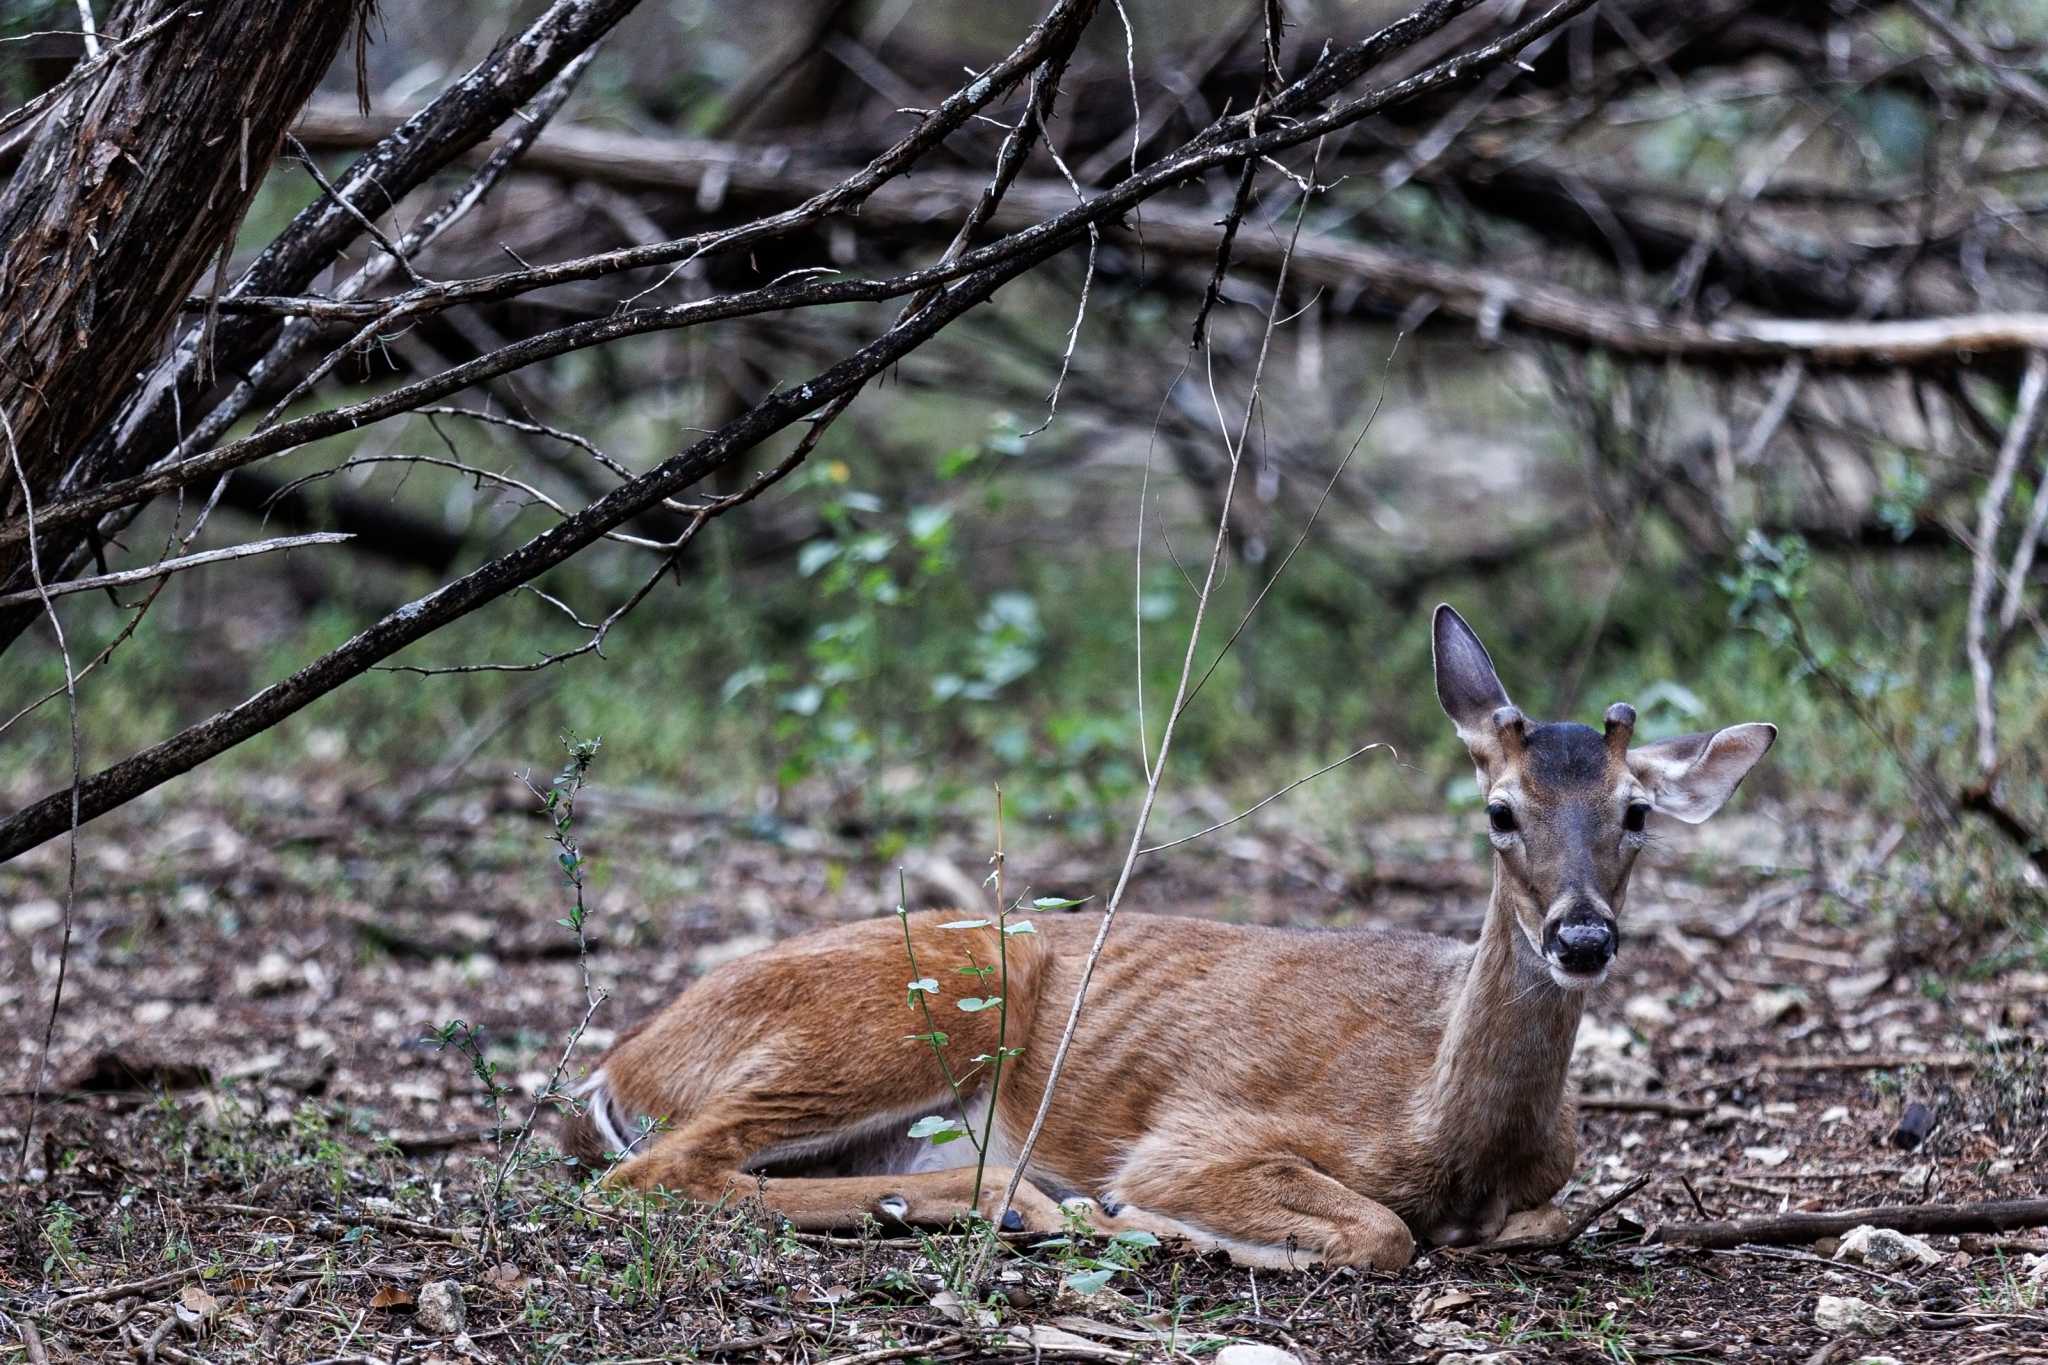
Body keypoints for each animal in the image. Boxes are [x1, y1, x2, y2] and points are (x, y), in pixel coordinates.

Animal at [563, 605, 1776, 1269]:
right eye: (1499, 811)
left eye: (1635, 812)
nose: (1582, 936)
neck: (1455, 1134)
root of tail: (618, 1067)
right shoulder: (1202, 1132)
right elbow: (1377, 1231)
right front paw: (1145, 1219)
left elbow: (1543, 1216)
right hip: (918, 1004)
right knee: (655, 1171)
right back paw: (1024, 1206)